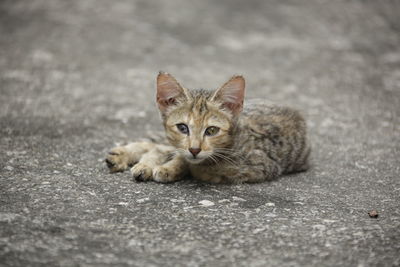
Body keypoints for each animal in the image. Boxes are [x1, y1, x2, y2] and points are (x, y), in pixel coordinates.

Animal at [105, 71, 310, 184]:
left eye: (212, 130)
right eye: (182, 128)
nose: (195, 149)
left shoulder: (260, 166)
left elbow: (199, 167)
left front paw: (170, 168)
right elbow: (177, 154)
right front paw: (158, 164)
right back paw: (121, 156)